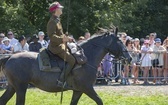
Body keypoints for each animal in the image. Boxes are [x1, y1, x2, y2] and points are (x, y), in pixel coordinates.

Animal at [0, 30, 132, 104]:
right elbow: (99, 101)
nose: (129, 58)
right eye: (120, 41)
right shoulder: (87, 88)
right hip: (20, 88)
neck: (87, 58)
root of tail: (10, 57)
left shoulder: (78, 91)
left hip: (12, 87)